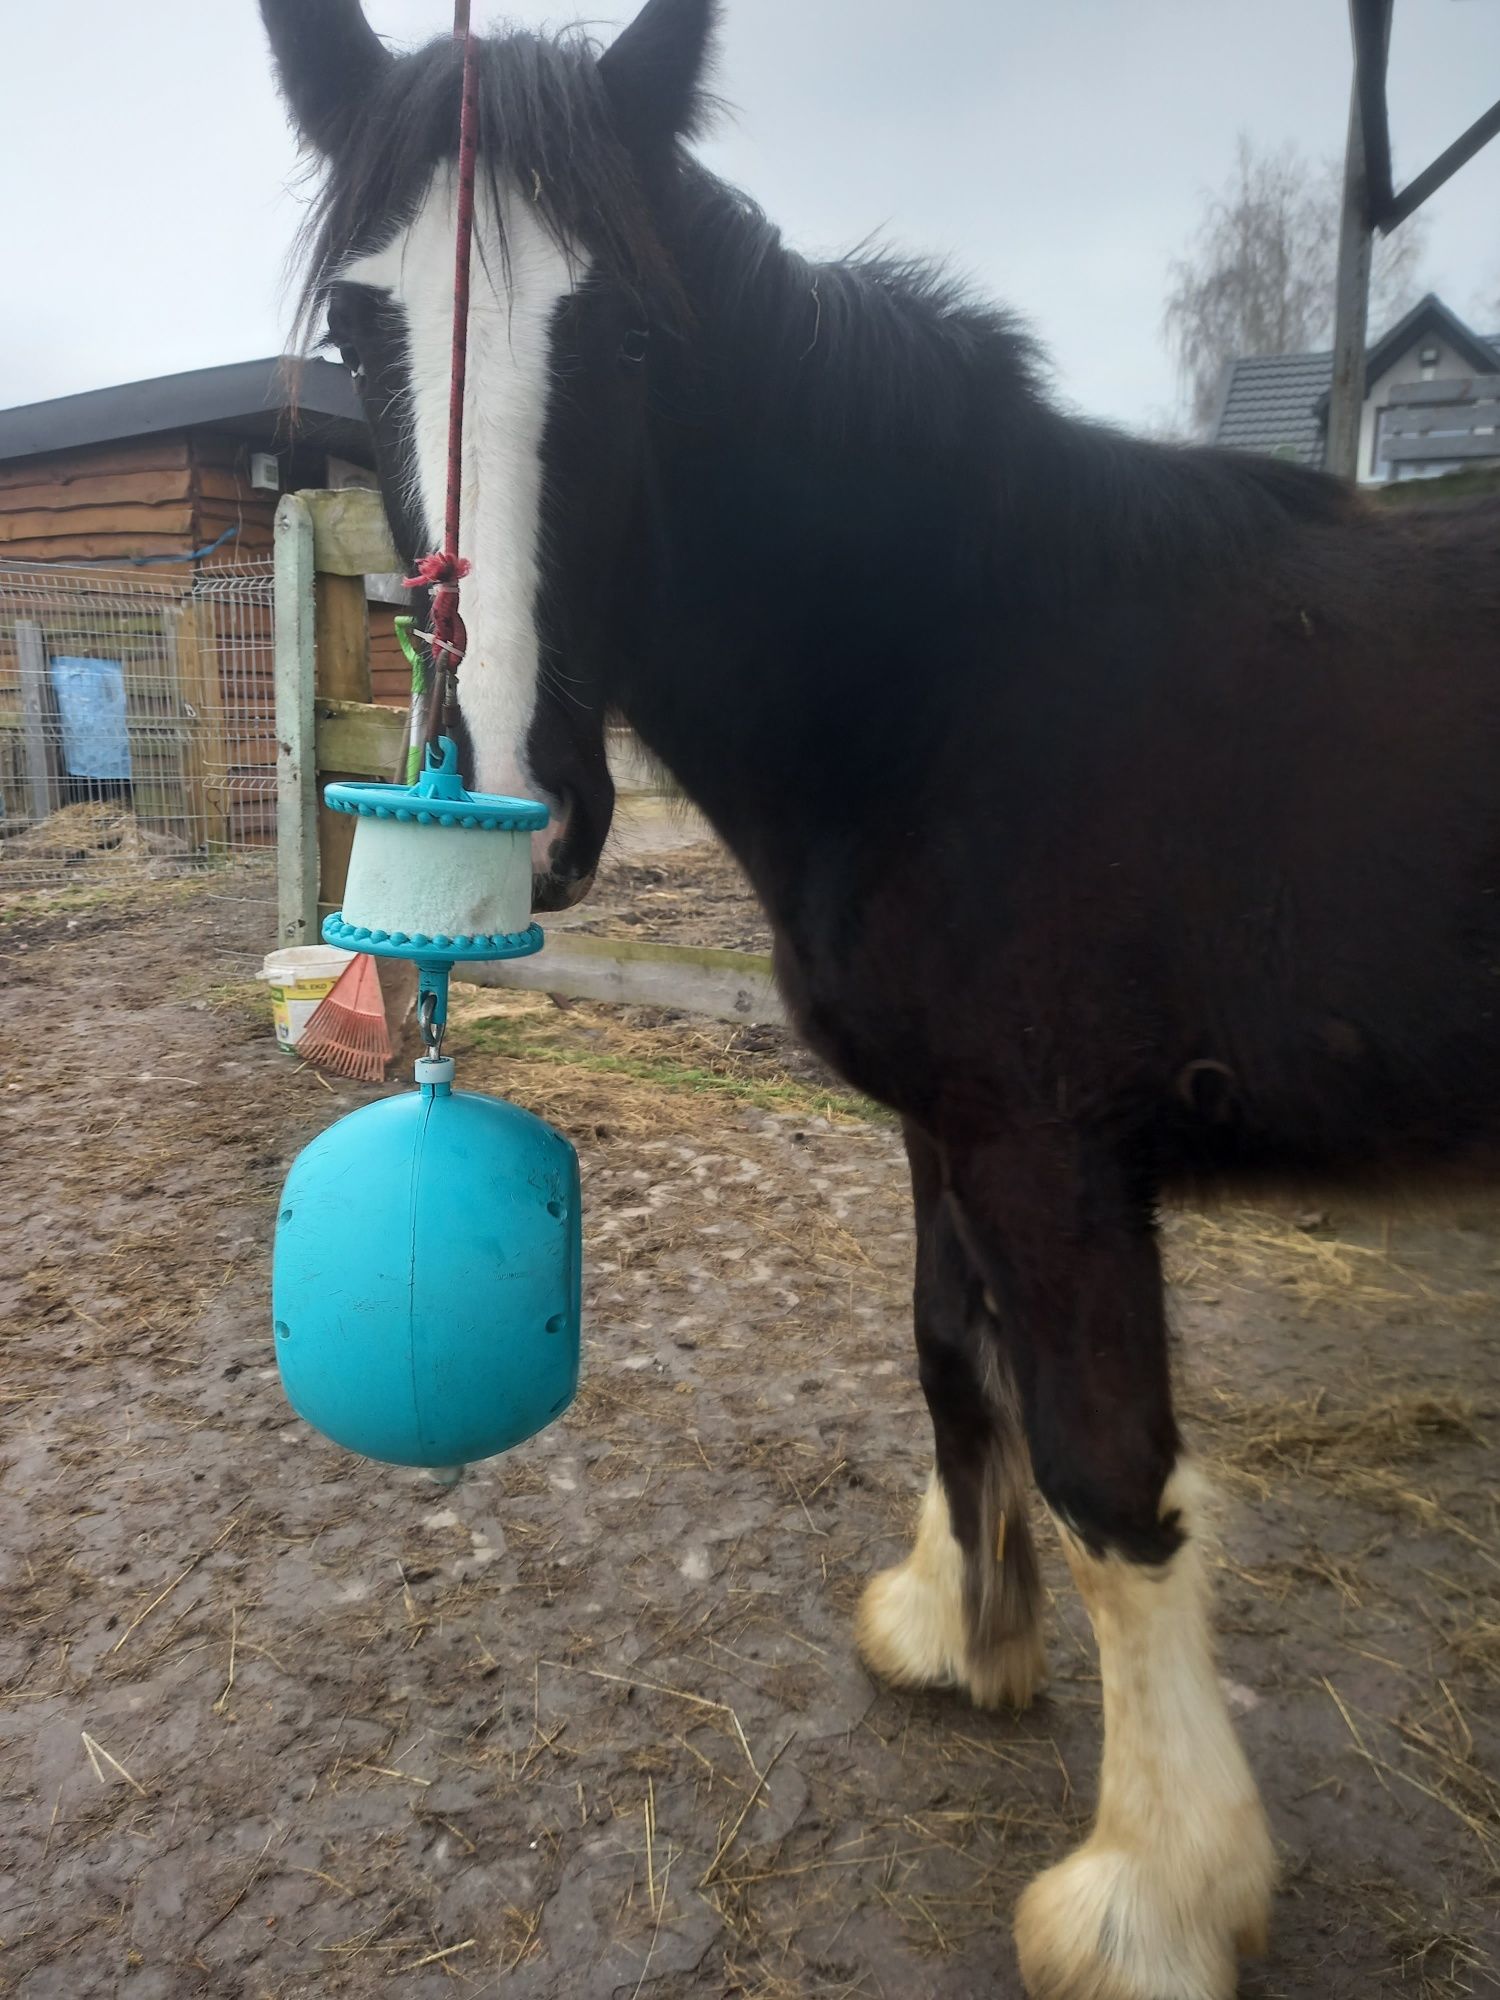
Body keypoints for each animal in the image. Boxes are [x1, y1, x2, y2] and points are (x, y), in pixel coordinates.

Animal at [262, 7, 1500, 1992]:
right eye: (366, 328)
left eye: (634, 336)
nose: (504, 802)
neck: (961, 676)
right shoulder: (947, 1130)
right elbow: (946, 1358)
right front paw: (957, 1628)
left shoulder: (1054, 1158)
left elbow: (1108, 1474)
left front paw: (1155, 1891)